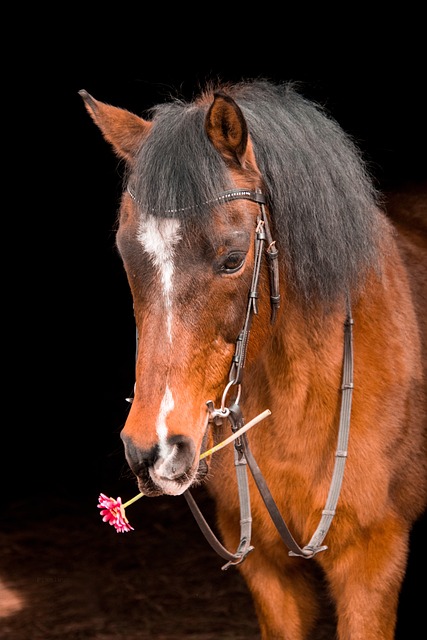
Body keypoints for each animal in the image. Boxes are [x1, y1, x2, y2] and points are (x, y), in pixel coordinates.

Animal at [79, 80, 424, 640]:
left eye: (233, 258)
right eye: (127, 254)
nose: (152, 450)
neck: (297, 402)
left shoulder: (373, 562)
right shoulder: (267, 570)